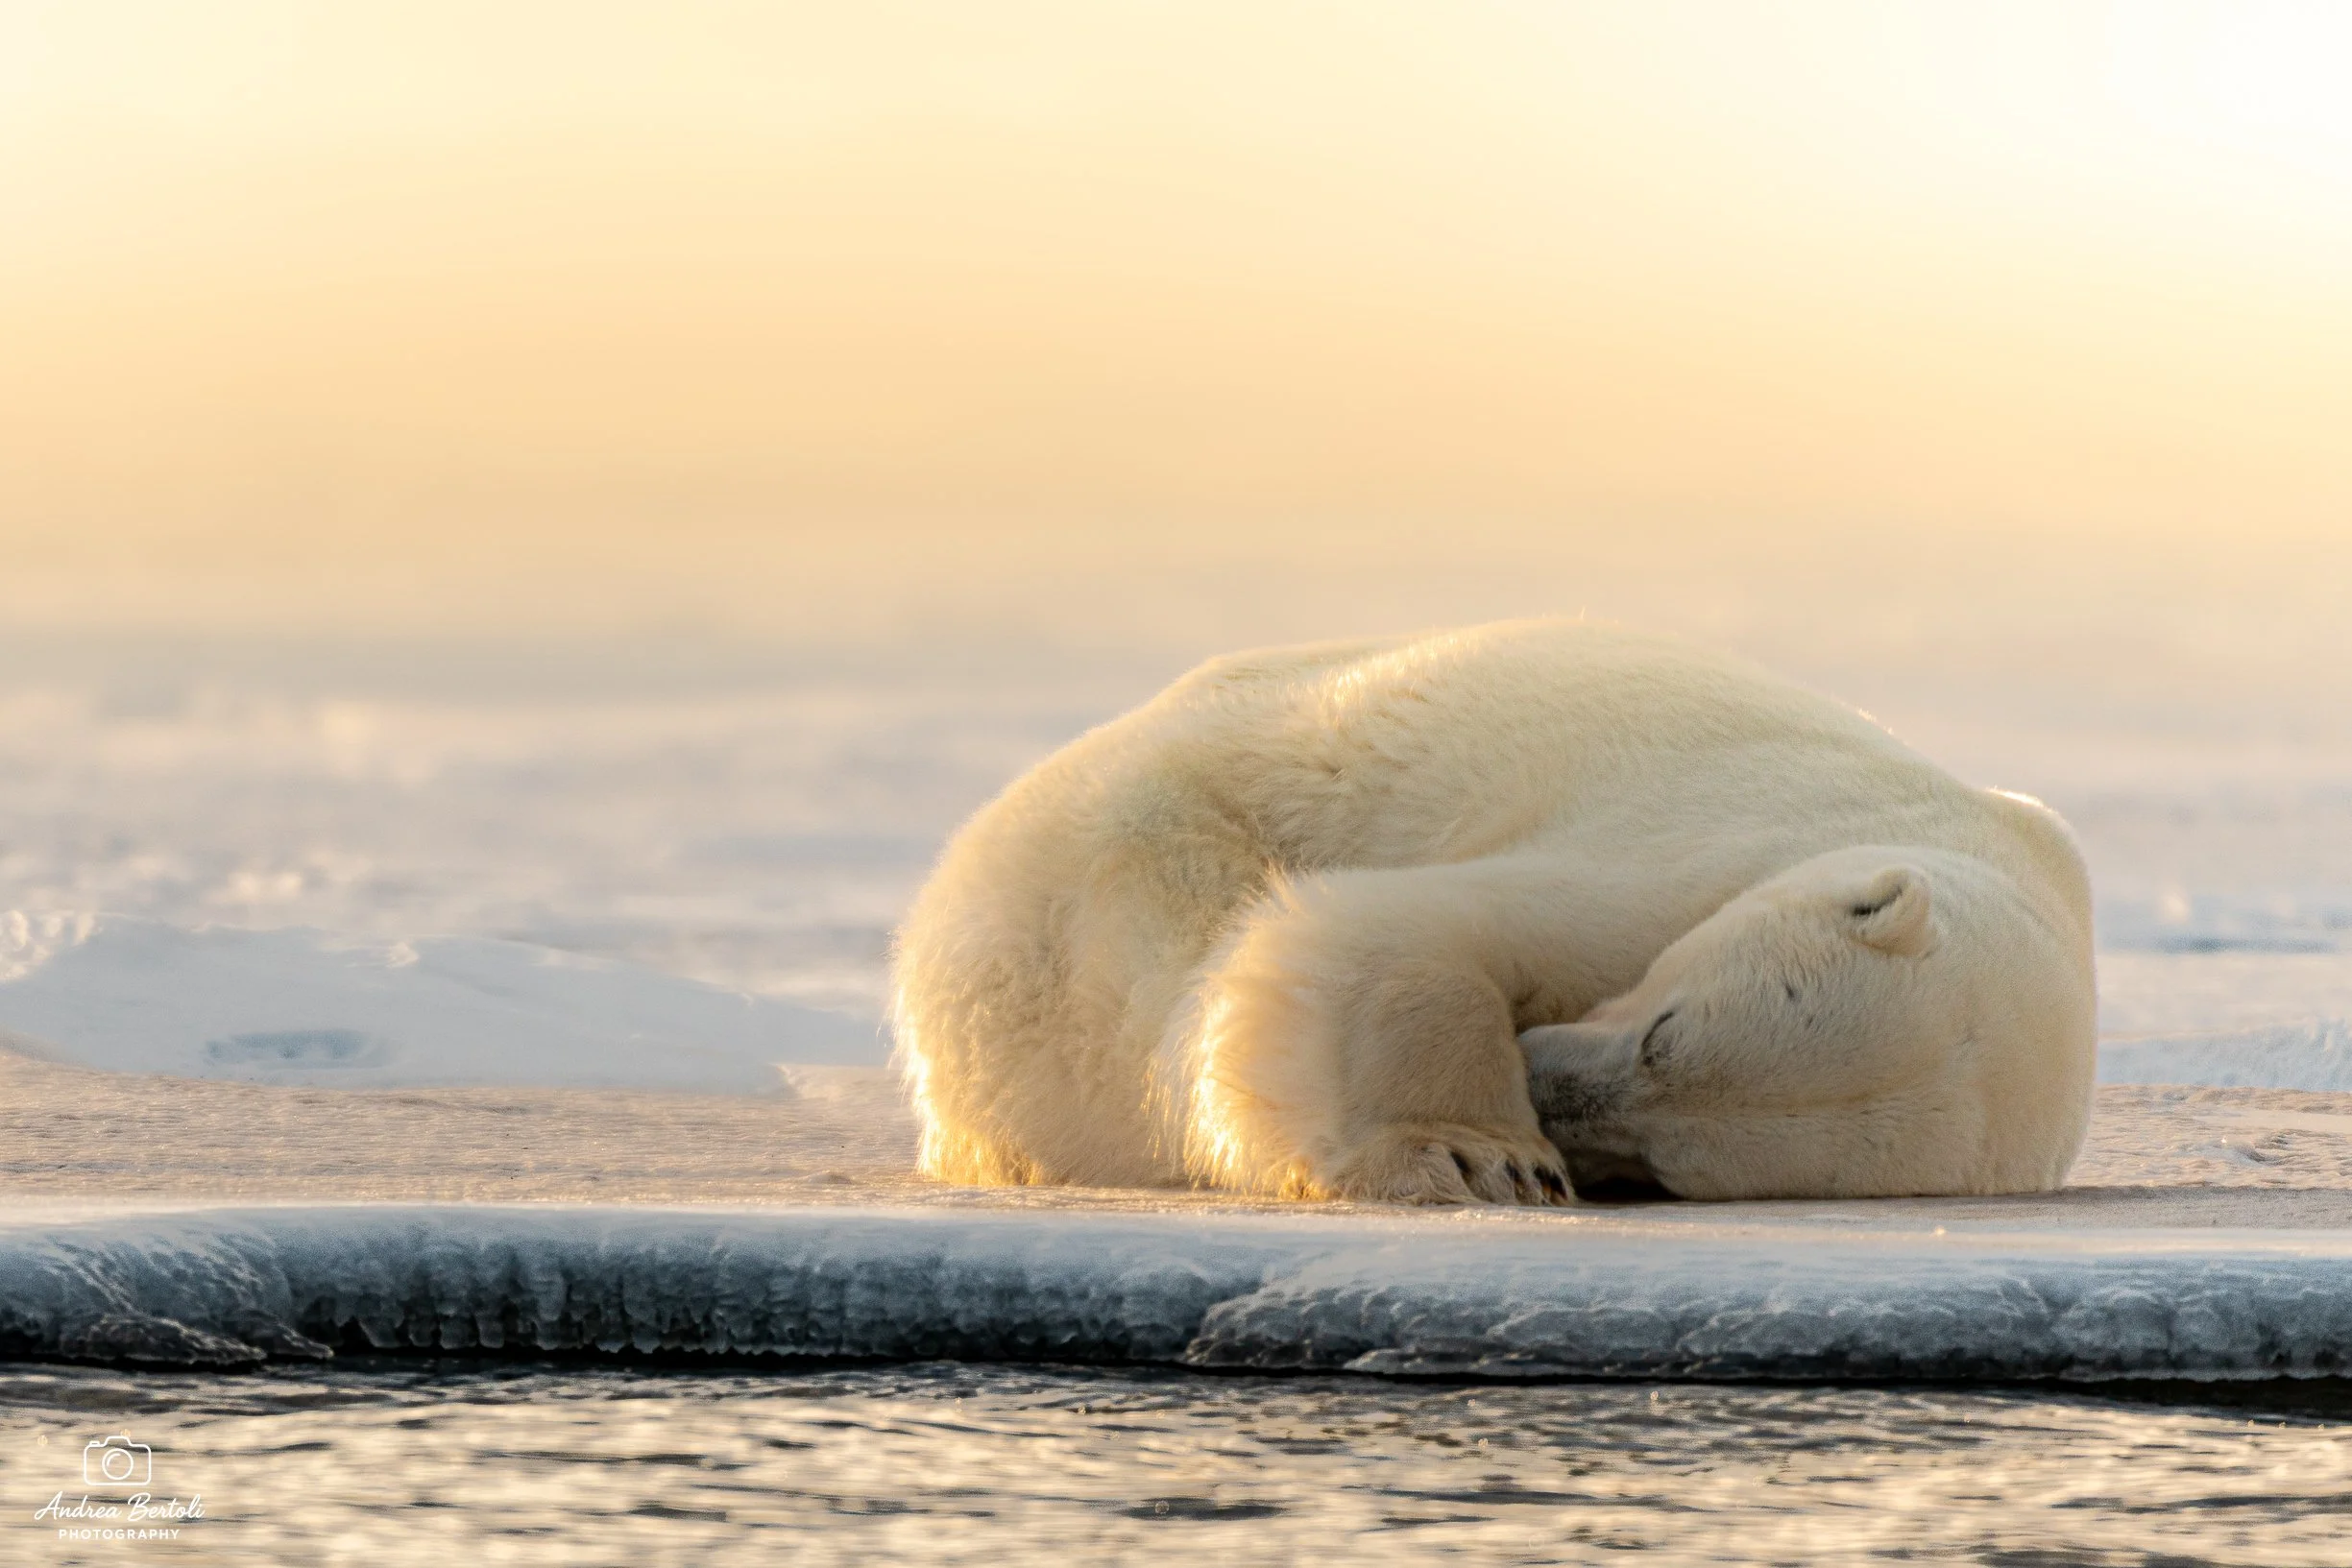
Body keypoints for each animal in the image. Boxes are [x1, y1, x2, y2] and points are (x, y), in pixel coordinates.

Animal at [891, 620, 2096, 1205]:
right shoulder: (1706, 848)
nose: (1545, 1090)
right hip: (1101, 872)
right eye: (1664, 1034)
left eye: (1670, 1167)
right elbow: (1398, 931)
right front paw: (1479, 1158)